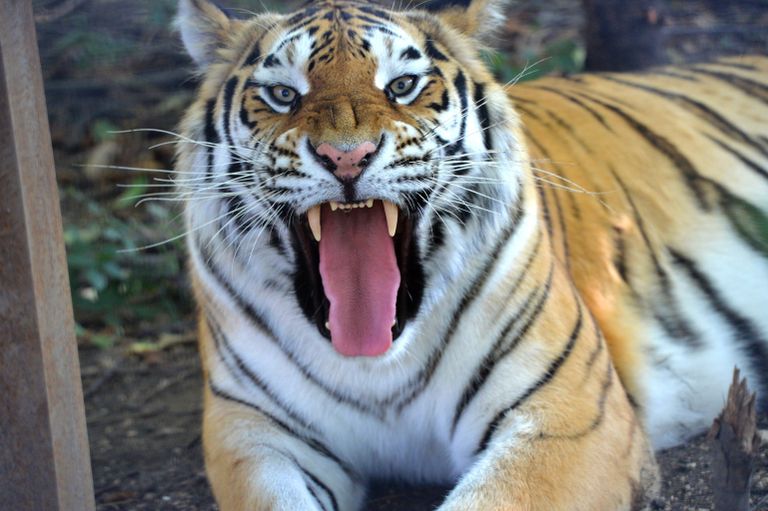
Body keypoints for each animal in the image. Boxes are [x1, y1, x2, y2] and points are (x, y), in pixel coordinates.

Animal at [173, 0, 768, 509]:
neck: (376, 366)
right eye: (282, 95)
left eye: (403, 86)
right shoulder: (252, 432)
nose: (346, 157)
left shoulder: (569, 416)